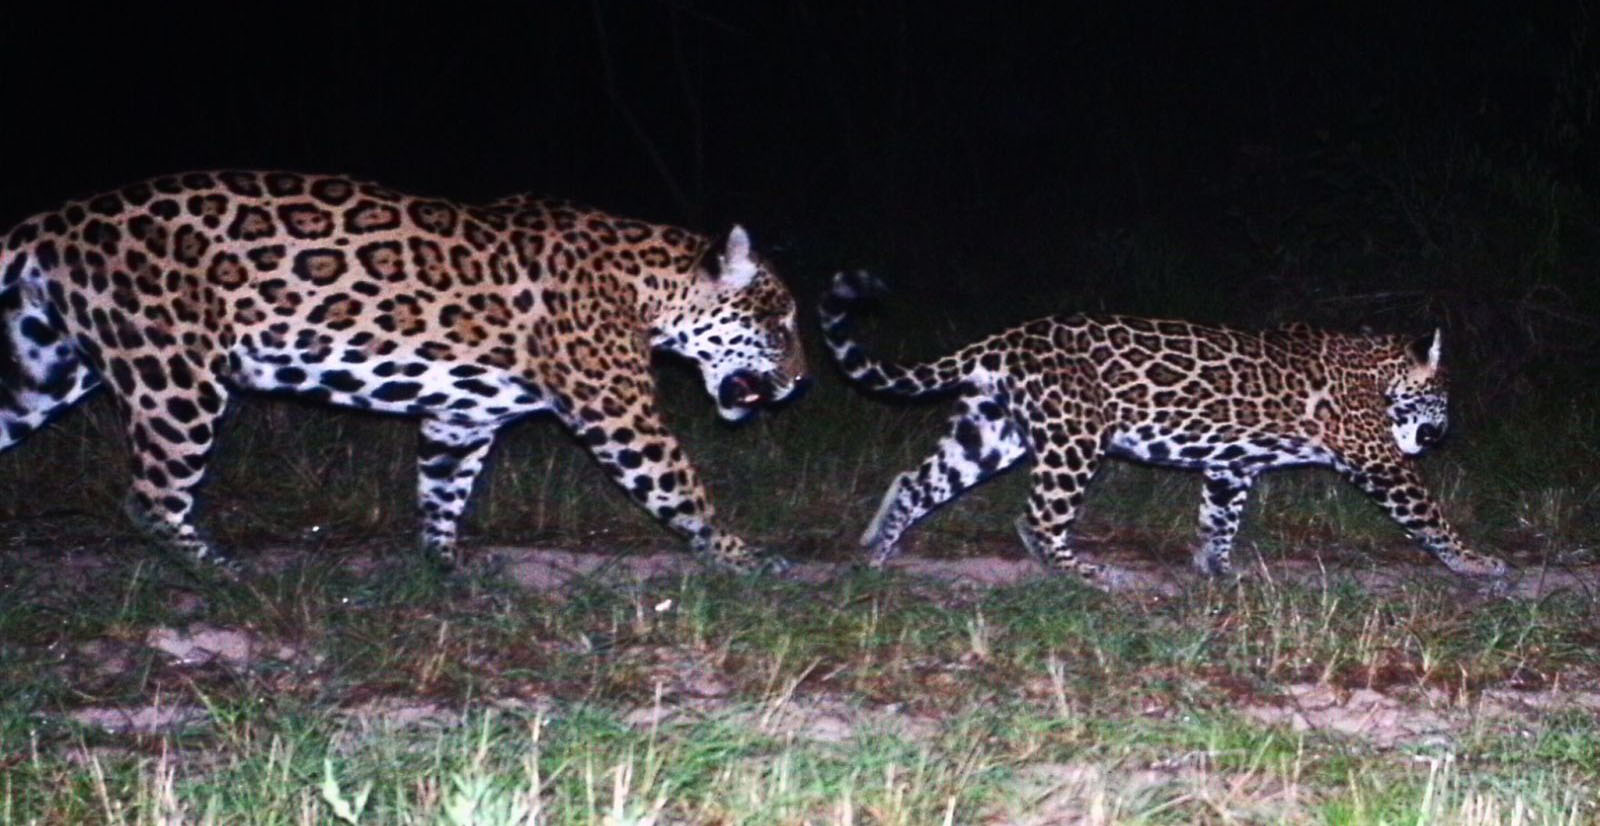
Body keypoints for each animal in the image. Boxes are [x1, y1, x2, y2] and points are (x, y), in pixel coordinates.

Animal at [0, 171, 806, 574]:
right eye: (781, 322)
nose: (801, 382)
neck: (649, 287)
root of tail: (55, 219)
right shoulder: (620, 413)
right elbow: (682, 487)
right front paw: (743, 558)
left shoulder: (461, 417)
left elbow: (442, 490)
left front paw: (444, 567)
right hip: (177, 376)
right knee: (149, 499)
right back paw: (220, 572)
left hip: (45, 371)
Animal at [819, 270, 1508, 588]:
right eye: (1443, 396)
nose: (1443, 432)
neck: (1374, 370)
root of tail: (1006, 338)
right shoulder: (1381, 462)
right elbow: (1432, 517)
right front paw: (1476, 563)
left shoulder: (1230, 465)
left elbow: (1219, 519)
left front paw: (1217, 570)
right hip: (1075, 439)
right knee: (1037, 516)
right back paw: (1084, 575)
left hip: (991, 433)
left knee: (916, 480)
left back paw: (875, 553)